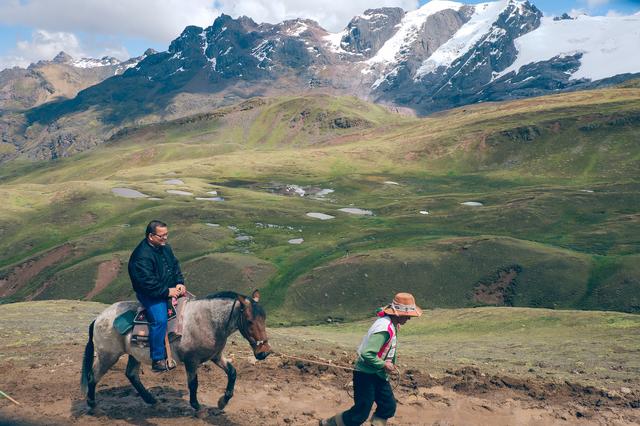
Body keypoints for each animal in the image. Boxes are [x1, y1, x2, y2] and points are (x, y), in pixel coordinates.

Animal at [80, 288, 270, 412]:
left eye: (264, 318)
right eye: (249, 321)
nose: (264, 352)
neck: (207, 320)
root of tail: (98, 318)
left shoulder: (216, 356)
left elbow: (232, 373)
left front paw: (222, 401)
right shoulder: (191, 360)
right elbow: (193, 383)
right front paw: (196, 406)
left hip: (134, 355)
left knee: (131, 374)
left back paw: (151, 400)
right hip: (108, 356)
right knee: (93, 376)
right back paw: (91, 404)